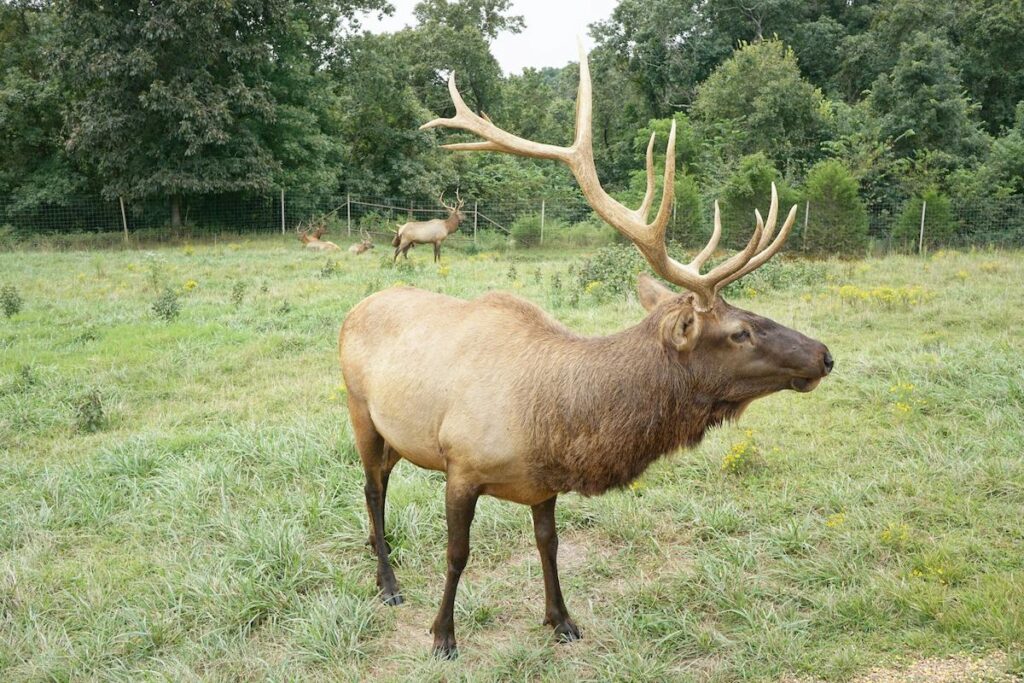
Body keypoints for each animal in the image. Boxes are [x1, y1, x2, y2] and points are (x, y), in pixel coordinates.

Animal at [338, 44, 833, 660]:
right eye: (740, 331)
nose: (823, 354)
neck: (556, 425)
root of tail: (355, 309)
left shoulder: (542, 484)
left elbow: (548, 544)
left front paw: (561, 619)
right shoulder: (461, 465)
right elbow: (458, 555)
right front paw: (443, 635)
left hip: (400, 433)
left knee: (380, 483)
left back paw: (375, 553)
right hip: (360, 409)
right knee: (371, 486)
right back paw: (387, 582)